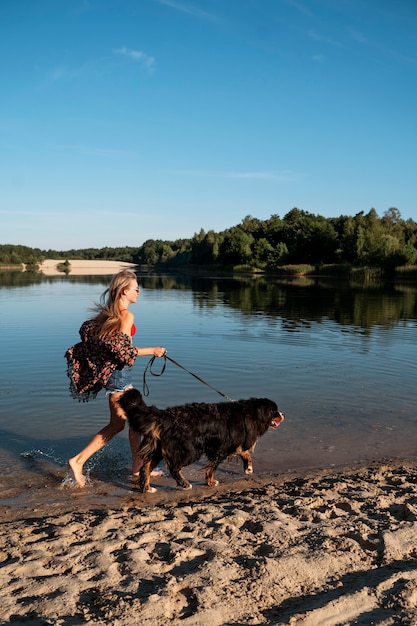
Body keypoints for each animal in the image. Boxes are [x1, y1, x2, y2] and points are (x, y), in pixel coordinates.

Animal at [118, 386, 284, 492]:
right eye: (275, 411)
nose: (283, 414)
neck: (249, 414)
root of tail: (165, 416)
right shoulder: (220, 449)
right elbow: (212, 467)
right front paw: (211, 481)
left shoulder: (232, 445)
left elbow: (245, 453)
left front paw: (248, 467)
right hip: (189, 450)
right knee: (174, 468)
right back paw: (185, 484)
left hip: (159, 449)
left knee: (145, 468)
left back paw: (147, 488)